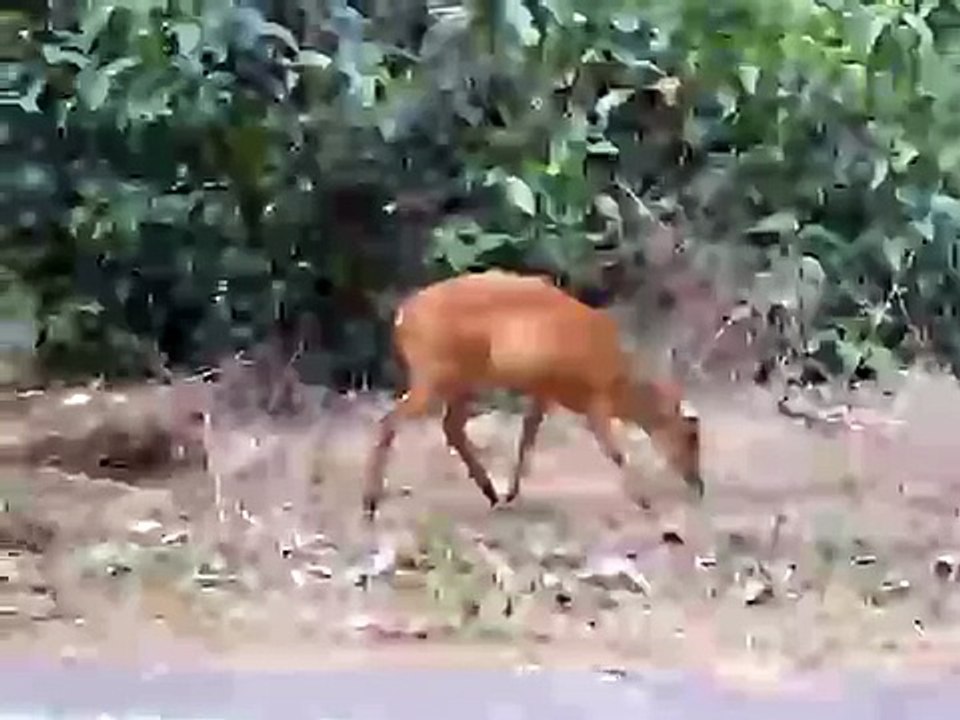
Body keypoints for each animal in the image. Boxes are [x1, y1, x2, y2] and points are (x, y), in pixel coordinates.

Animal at [361, 269, 703, 520]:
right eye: (691, 436)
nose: (698, 484)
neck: (618, 375)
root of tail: (402, 317)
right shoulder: (594, 397)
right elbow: (613, 450)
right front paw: (644, 500)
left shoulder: (544, 390)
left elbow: (527, 438)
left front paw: (512, 493)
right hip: (435, 374)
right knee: (390, 420)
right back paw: (370, 502)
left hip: (462, 380)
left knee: (450, 427)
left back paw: (491, 493)